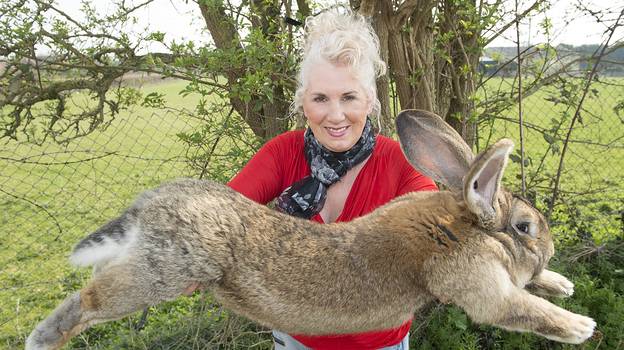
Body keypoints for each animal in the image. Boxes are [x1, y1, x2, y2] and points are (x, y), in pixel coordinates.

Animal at [26, 108, 596, 348]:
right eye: (525, 226)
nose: (549, 248)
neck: (463, 225)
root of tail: (148, 206)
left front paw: (562, 284)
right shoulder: (477, 283)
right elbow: (518, 308)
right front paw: (580, 327)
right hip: (164, 273)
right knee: (91, 300)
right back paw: (43, 338)